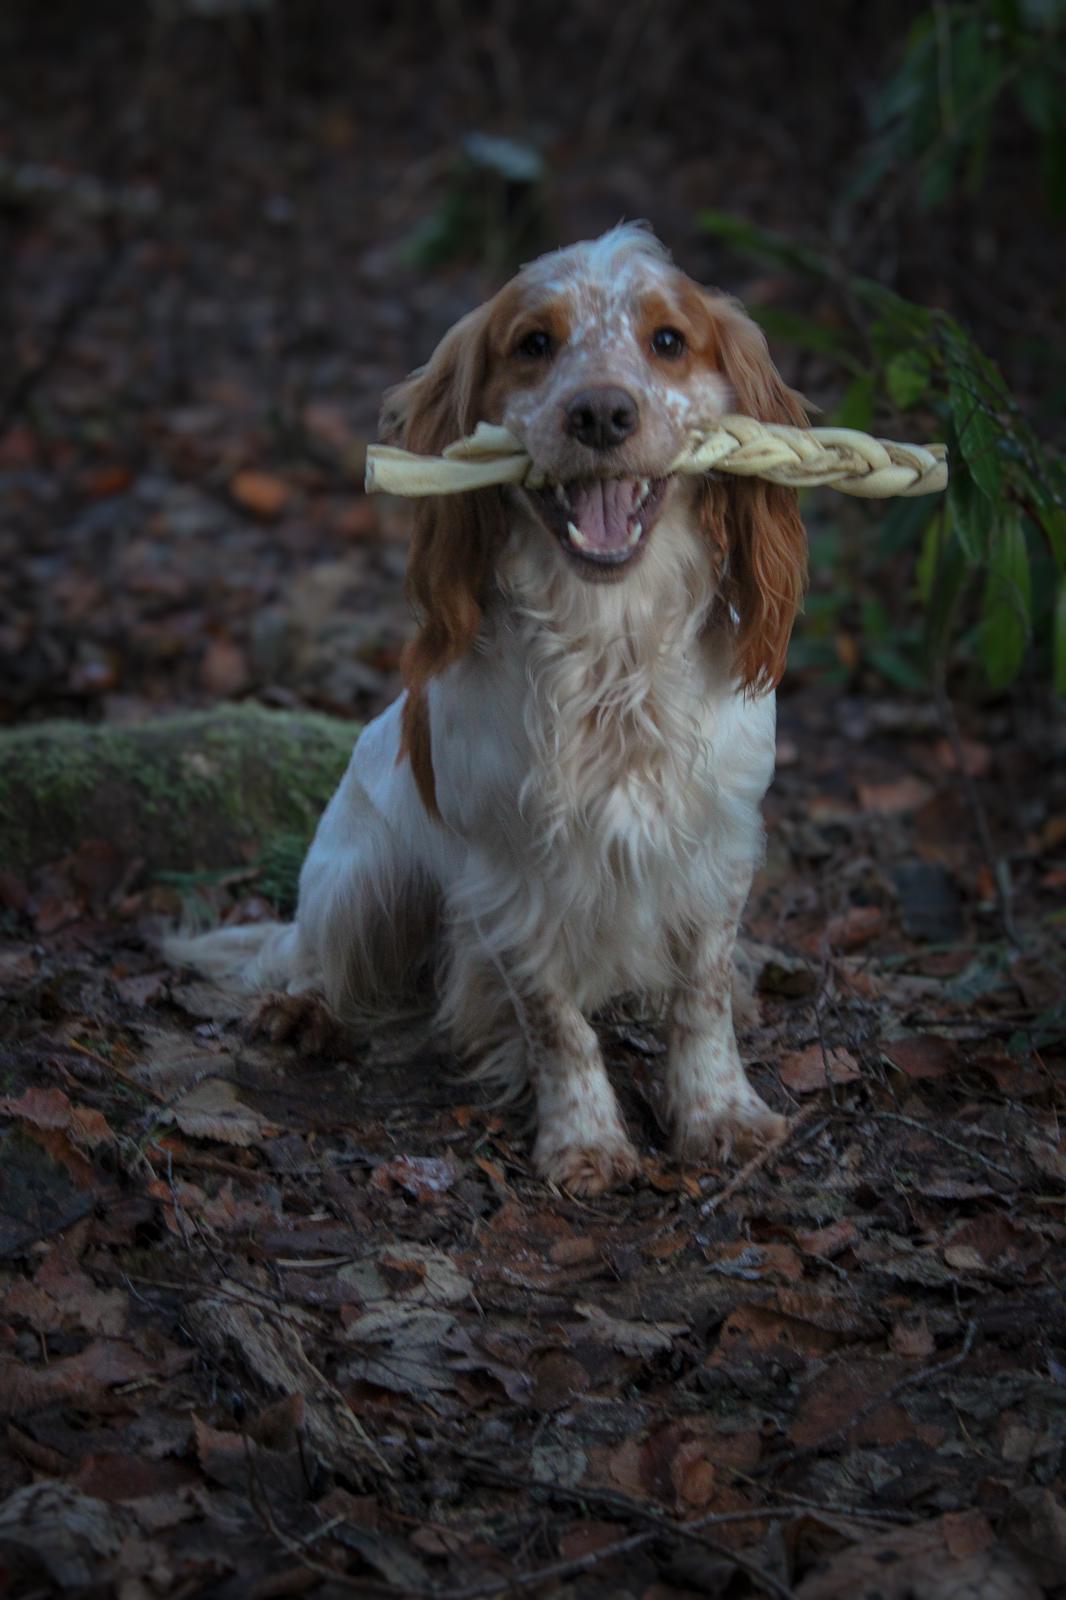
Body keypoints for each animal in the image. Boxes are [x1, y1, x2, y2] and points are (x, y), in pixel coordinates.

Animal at [168, 228, 806, 1203]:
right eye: (535, 344)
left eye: (668, 340)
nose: (601, 413)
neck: (610, 651)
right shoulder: (508, 874)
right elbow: (555, 1021)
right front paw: (583, 1140)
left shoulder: (719, 843)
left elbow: (699, 997)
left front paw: (720, 1115)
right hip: (363, 880)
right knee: (311, 950)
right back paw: (305, 1010)